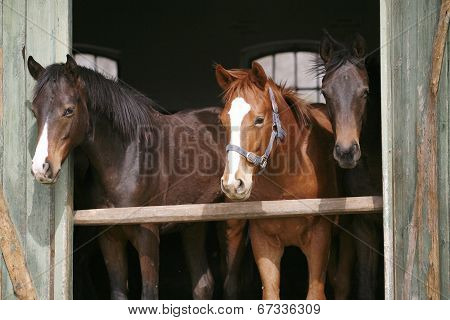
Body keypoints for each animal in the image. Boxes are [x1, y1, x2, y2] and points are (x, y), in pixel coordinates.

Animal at [27, 55, 225, 300]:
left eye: (69, 110)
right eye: (35, 112)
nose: (41, 168)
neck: (126, 159)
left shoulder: (148, 235)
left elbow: (149, 294)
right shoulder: (109, 237)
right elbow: (118, 292)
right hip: (193, 224)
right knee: (203, 284)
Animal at [216, 62, 340, 300]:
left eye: (259, 120)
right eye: (223, 121)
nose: (233, 183)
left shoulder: (319, 238)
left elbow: (315, 294)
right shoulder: (264, 240)